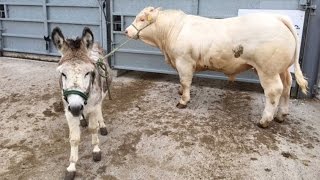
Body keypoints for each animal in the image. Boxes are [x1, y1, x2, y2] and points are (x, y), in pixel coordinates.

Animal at [125, 6, 308, 128]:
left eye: (141, 19)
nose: (126, 31)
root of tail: (277, 17)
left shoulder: (184, 61)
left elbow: (185, 81)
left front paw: (183, 100)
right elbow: (182, 82)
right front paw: (180, 92)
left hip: (268, 69)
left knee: (274, 91)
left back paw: (265, 120)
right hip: (282, 69)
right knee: (286, 87)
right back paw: (281, 115)